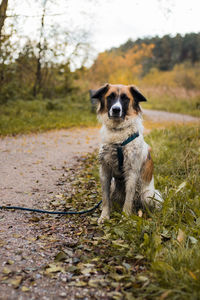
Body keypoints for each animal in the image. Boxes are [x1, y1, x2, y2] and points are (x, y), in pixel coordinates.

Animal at [90, 82, 162, 223]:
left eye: (125, 98)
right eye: (110, 97)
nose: (116, 109)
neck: (118, 132)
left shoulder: (132, 171)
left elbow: (128, 199)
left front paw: (125, 217)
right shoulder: (105, 171)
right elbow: (105, 199)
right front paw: (104, 216)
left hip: (147, 195)